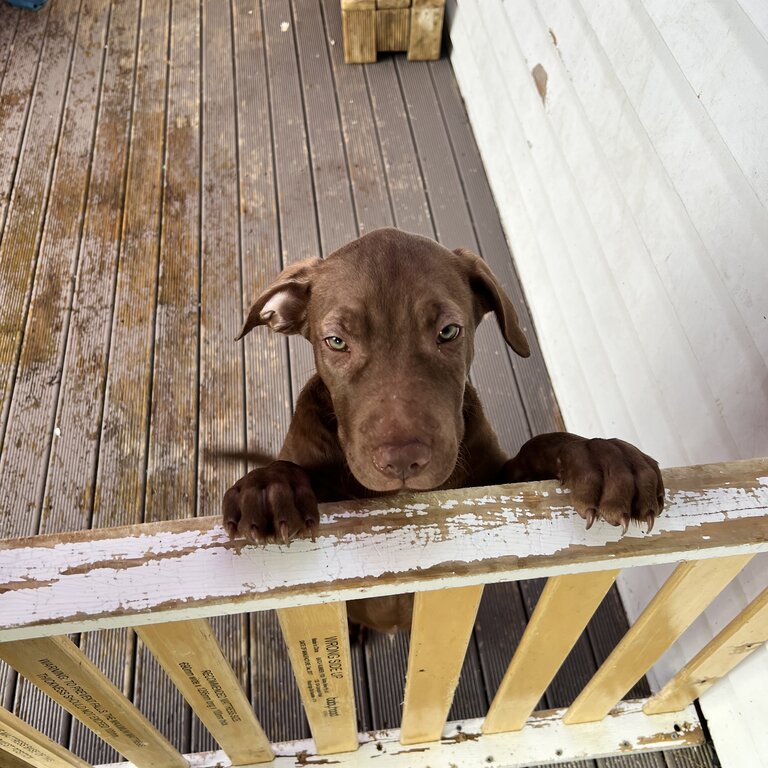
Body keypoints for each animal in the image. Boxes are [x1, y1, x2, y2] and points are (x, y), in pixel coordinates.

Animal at [220, 226, 660, 632]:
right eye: (336, 341)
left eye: (448, 332)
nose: (402, 462)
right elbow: (289, 470)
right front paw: (267, 487)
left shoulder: (495, 486)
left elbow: (539, 446)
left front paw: (601, 457)